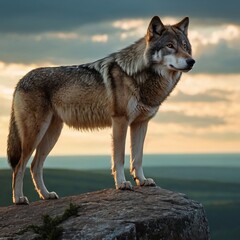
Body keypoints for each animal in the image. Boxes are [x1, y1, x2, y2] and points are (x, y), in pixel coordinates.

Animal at [7, 16, 195, 204]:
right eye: (170, 45)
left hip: (52, 134)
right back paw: (19, 199)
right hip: (35, 134)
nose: (191, 61)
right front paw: (122, 184)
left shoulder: (141, 123)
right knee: (19, 166)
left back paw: (46, 195)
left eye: (186, 47)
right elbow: (119, 158)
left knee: (35, 166)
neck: (138, 75)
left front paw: (142, 181)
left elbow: (138, 158)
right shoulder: (120, 121)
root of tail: (20, 80)